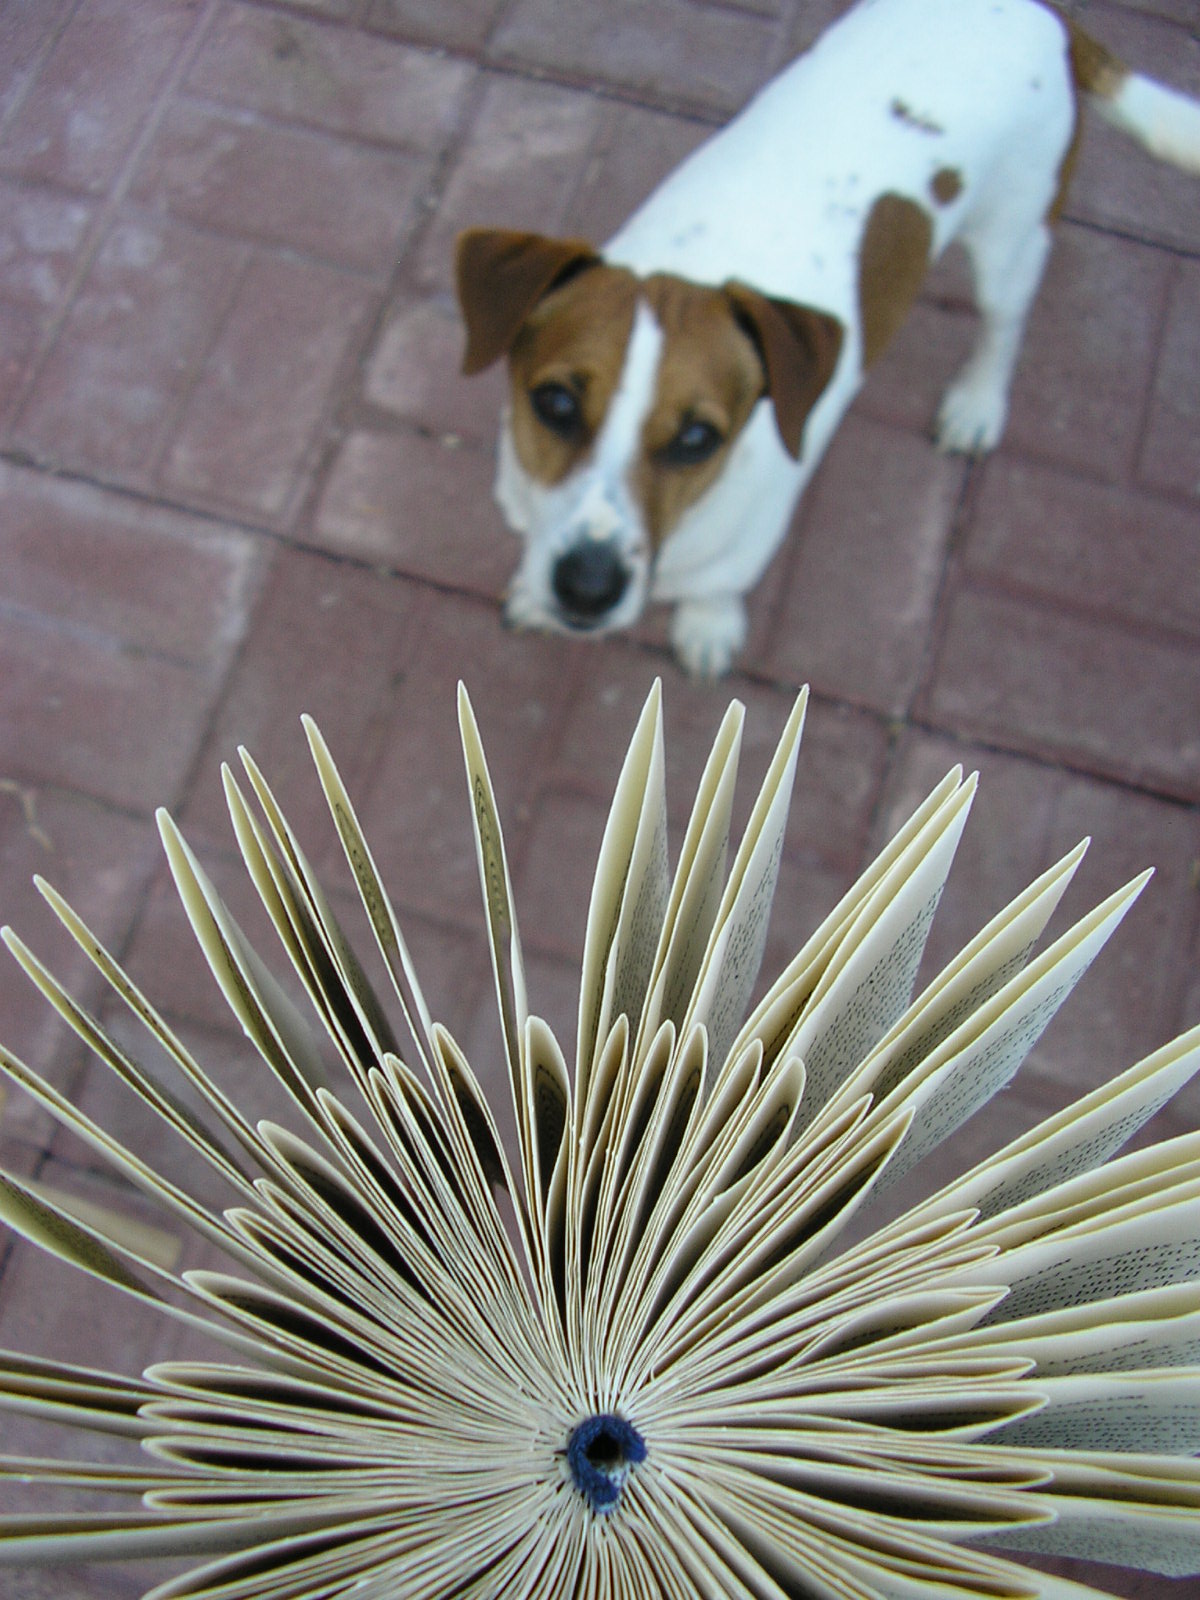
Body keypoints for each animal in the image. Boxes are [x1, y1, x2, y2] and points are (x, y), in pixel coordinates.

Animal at [455, 0, 1200, 677]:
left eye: (697, 438)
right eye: (555, 403)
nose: (586, 588)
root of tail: (1048, 14)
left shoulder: (742, 547)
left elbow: (719, 589)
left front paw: (708, 625)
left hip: (1011, 243)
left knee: (1003, 326)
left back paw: (977, 403)